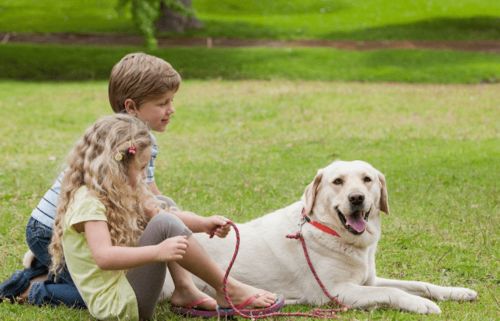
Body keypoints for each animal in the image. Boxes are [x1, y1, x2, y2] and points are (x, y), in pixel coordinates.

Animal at [161, 160, 476, 312]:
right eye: (338, 181)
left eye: (367, 179)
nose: (357, 198)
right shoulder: (338, 291)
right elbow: (395, 292)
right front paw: (421, 305)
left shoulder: (369, 281)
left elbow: (420, 284)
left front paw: (457, 292)